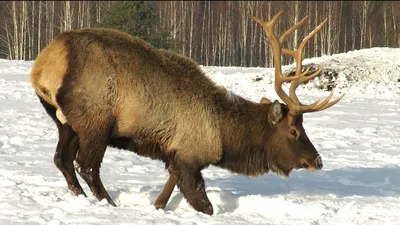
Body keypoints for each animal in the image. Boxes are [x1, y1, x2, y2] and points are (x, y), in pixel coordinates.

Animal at [30, 11, 344, 216]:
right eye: (294, 130)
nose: (317, 160)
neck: (225, 136)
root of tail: (44, 65)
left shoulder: (174, 155)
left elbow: (166, 194)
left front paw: (157, 207)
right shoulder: (190, 156)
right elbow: (204, 205)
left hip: (66, 122)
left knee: (62, 159)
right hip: (96, 120)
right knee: (87, 165)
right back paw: (109, 204)